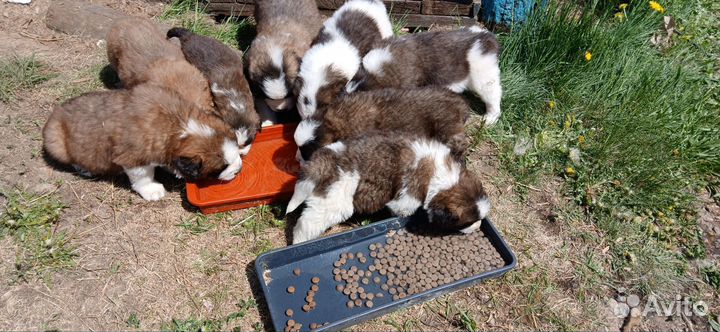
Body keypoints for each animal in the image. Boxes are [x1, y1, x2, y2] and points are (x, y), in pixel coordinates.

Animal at [43, 84, 245, 201]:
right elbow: (143, 176)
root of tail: (55, 114)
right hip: (56, 142)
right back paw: (84, 168)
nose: (238, 169)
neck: (179, 125)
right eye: (221, 168)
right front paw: (151, 190)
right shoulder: (134, 158)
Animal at [286, 134, 490, 244]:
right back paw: (299, 241)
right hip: (333, 202)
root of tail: (327, 159)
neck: (440, 173)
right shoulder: (407, 198)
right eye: (466, 222)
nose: (478, 226)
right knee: (307, 223)